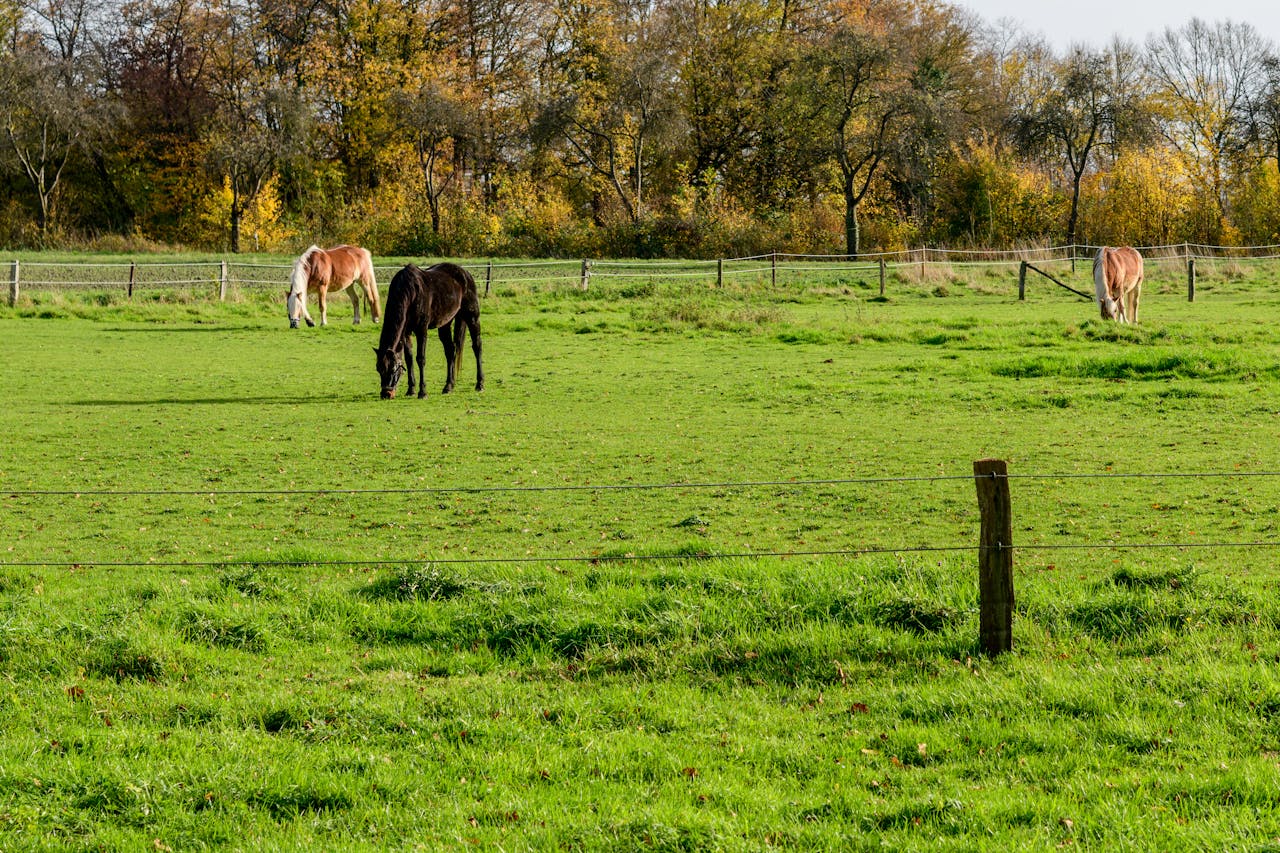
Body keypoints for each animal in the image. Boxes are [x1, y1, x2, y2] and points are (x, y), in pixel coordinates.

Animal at [373, 262, 483, 399]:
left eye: (393, 368)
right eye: (378, 369)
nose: (386, 394)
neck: (411, 292)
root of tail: (465, 273)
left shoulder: (421, 329)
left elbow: (420, 359)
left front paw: (422, 392)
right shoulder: (406, 333)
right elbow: (409, 359)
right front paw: (411, 390)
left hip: (472, 317)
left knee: (477, 346)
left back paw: (480, 384)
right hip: (445, 323)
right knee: (450, 350)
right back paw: (449, 386)